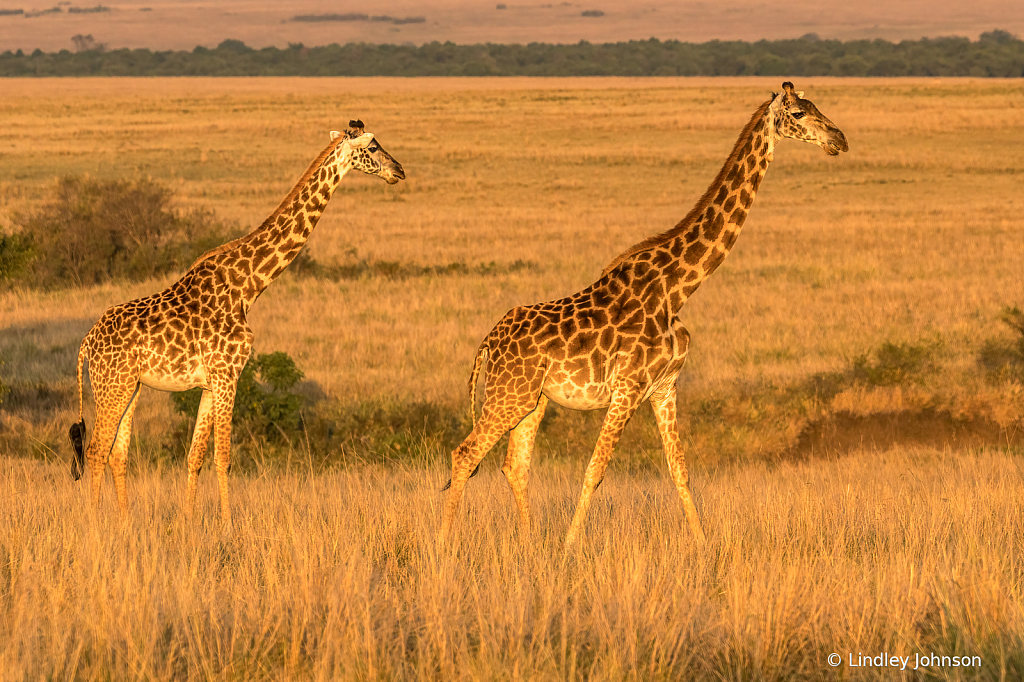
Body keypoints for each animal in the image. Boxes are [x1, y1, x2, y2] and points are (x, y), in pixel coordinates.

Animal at [67, 120, 403, 524]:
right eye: (373, 146)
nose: (399, 170)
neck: (249, 285)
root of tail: (86, 342)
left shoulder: (211, 382)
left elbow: (195, 456)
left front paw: (188, 522)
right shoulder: (229, 373)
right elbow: (223, 456)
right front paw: (228, 525)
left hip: (129, 386)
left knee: (117, 453)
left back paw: (124, 522)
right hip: (112, 385)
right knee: (96, 450)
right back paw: (94, 524)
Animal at [440, 80, 847, 548]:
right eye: (798, 113)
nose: (839, 139)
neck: (677, 290)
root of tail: (488, 341)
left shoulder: (665, 386)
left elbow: (680, 471)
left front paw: (703, 547)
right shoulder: (629, 387)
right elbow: (595, 471)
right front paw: (569, 548)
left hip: (531, 399)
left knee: (514, 466)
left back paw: (528, 546)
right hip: (509, 394)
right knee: (465, 453)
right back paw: (443, 547)